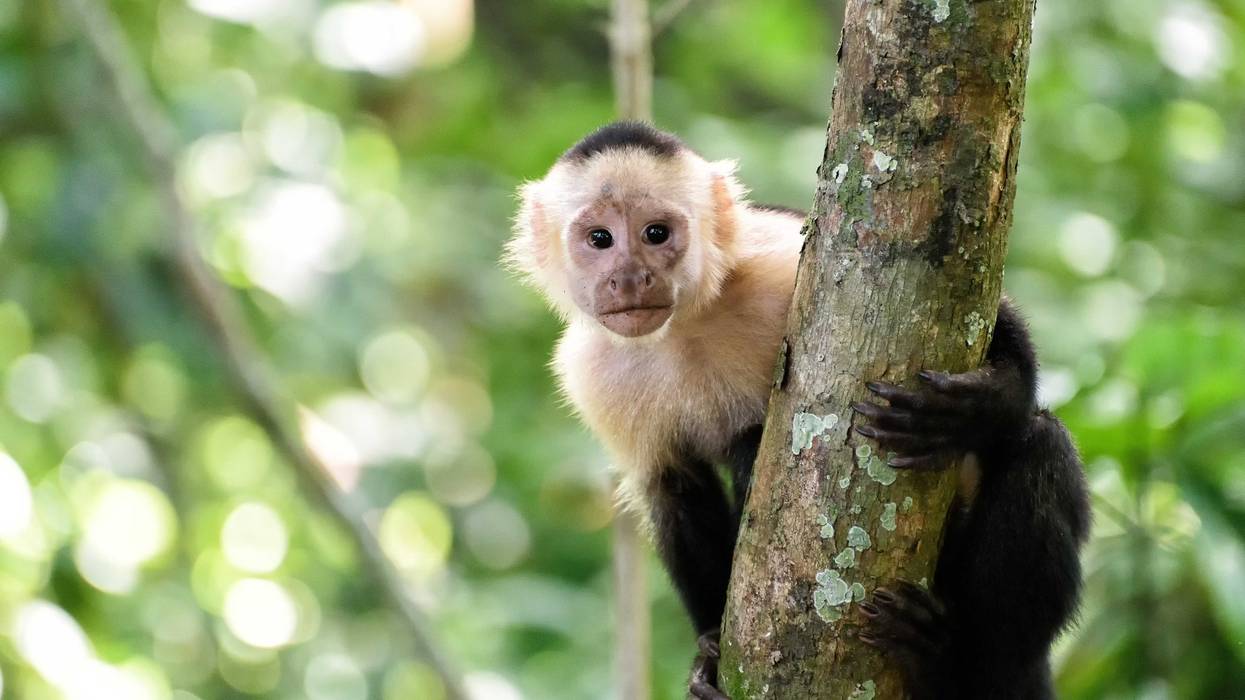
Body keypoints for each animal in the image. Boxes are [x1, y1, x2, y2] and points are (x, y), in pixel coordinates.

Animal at [506, 121, 1090, 699]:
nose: (629, 278)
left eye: (655, 233)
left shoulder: (778, 259)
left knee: (1040, 445)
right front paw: (709, 652)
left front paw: (979, 404)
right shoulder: (591, 372)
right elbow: (674, 488)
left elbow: (995, 316)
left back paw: (954, 663)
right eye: (599, 239)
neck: (684, 326)